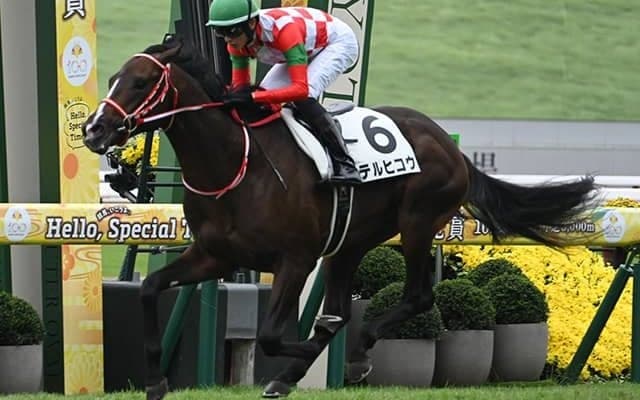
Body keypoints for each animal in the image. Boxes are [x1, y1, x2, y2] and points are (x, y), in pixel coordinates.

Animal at [82, 36, 597, 399]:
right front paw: (155, 382)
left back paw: (355, 353)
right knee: (341, 310)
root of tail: (451, 147)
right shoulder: (215, 255)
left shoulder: (295, 259)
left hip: (417, 222)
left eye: (141, 82)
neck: (235, 163)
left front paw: (305, 359)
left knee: (416, 297)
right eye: (111, 79)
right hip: (350, 241)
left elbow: (272, 336)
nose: (94, 130)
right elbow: (149, 289)